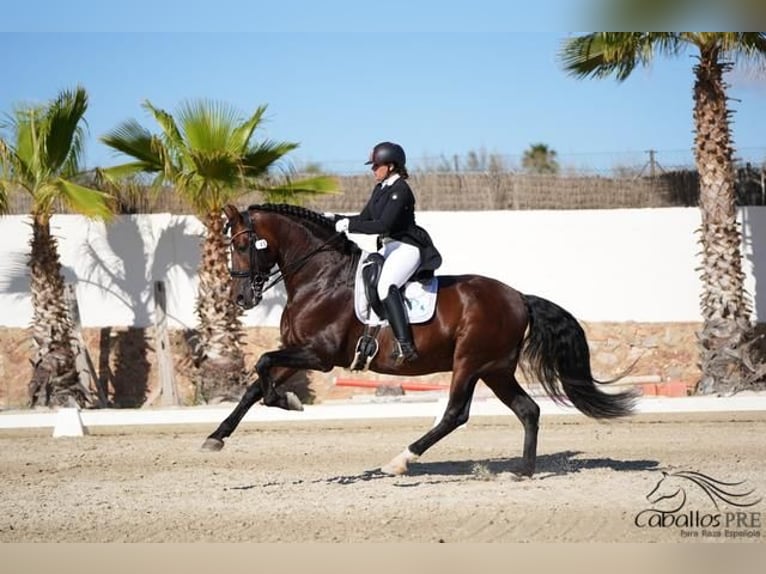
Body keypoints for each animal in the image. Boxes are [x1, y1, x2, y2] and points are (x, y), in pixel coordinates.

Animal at [201, 204, 640, 476]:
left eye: (243, 244)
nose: (241, 299)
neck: (319, 277)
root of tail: (518, 296)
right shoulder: (299, 353)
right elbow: (254, 385)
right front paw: (217, 437)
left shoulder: (318, 355)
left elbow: (261, 365)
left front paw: (286, 401)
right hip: (496, 368)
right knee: (527, 410)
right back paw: (522, 472)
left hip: (469, 362)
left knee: (455, 414)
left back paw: (401, 460)